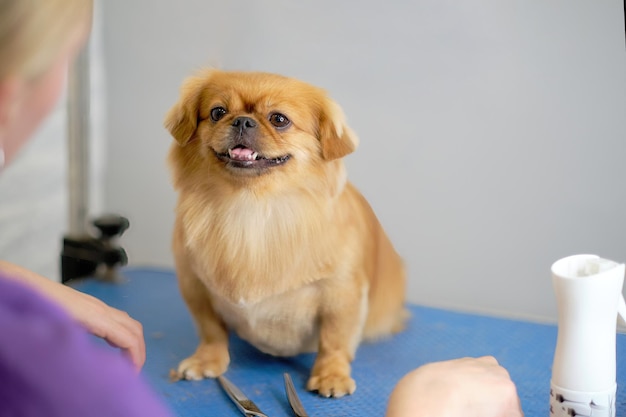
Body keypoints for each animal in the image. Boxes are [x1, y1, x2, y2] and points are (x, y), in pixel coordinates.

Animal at [163, 69, 404, 396]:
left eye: (278, 119)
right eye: (217, 113)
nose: (242, 121)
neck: (252, 207)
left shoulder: (342, 294)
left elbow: (334, 340)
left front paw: (331, 374)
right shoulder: (195, 286)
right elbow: (211, 330)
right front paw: (207, 360)